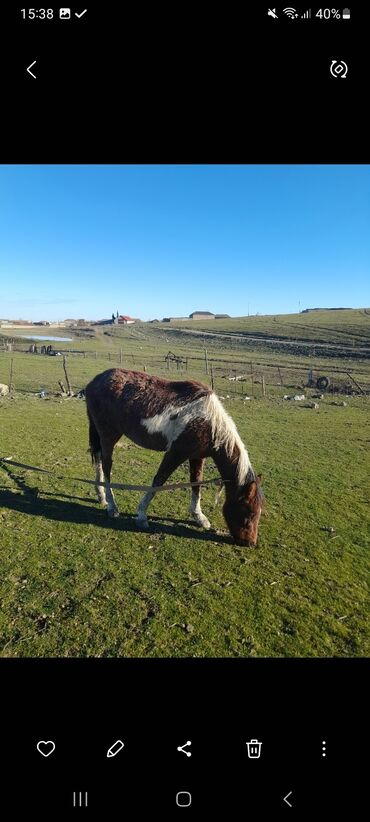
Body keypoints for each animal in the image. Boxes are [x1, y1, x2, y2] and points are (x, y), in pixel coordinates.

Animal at [84, 370, 264, 544]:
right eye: (248, 514)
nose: (250, 543)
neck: (209, 424)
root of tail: (95, 381)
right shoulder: (176, 454)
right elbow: (159, 480)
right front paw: (141, 515)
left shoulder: (197, 456)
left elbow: (196, 483)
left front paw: (199, 517)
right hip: (109, 435)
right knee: (106, 466)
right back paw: (112, 506)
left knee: (99, 460)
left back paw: (101, 497)